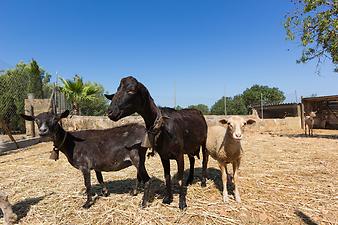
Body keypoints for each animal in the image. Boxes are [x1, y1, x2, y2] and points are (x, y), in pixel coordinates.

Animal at [19, 110, 149, 208]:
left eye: (55, 119)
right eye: (36, 120)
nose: (42, 131)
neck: (71, 143)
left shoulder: (84, 165)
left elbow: (87, 184)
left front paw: (87, 203)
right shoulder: (96, 164)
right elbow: (100, 179)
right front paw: (105, 193)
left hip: (136, 156)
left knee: (146, 179)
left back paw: (143, 203)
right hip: (139, 158)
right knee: (139, 175)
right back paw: (134, 192)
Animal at [105, 76, 209, 210]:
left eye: (131, 90)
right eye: (117, 90)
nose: (110, 112)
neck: (163, 127)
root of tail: (197, 111)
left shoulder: (179, 155)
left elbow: (180, 178)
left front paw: (182, 203)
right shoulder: (164, 156)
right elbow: (167, 176)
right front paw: (168, 199)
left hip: (204, 141)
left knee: (204, 159)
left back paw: (203, 182)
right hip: (190, 145)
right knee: (192, 160)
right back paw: (190, 180)